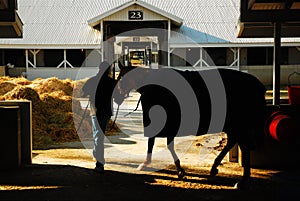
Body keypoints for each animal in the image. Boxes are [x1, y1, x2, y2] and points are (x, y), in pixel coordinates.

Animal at [116, 66, 266, 188]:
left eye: (119, 79)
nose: (116, 99)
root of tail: (258, 86)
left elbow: (154, 144)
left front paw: (148, 164)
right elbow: (167, 146)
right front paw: (179, 170)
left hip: (239, 126)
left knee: (243, 147)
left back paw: (242, 180)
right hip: (233, 126)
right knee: (232, 142)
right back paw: (215, 168)